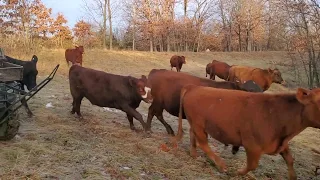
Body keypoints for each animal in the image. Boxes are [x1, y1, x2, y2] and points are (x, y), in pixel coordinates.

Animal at [174, 84, 320, 180]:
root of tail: (193, 88)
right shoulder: (252, 146)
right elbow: (252, 165)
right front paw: (237, 172)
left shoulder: (281, 143)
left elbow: (290, 160)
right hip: (199, 125)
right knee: (203, 143)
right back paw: (221, 165)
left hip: (196, 124)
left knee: (193, 135)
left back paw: (193, 154)